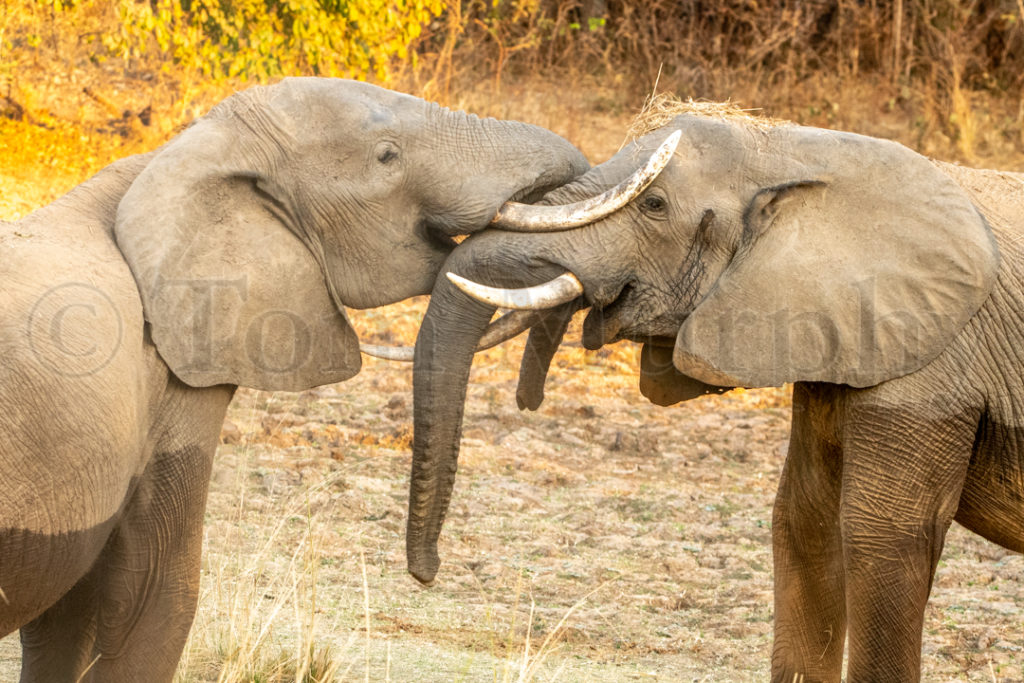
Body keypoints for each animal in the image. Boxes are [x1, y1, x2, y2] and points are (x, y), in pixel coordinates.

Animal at [0, 78, 589, 683]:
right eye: (387, 156)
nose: (428, 571)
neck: (183, 153)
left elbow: (66, 621)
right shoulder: (174, 385)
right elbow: (154, 599)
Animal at [407, 101, 1024, 683]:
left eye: (654, 206)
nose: (426, 572)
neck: (805, 152)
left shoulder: (934, 361)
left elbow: (882, 538)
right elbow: (803, 519)